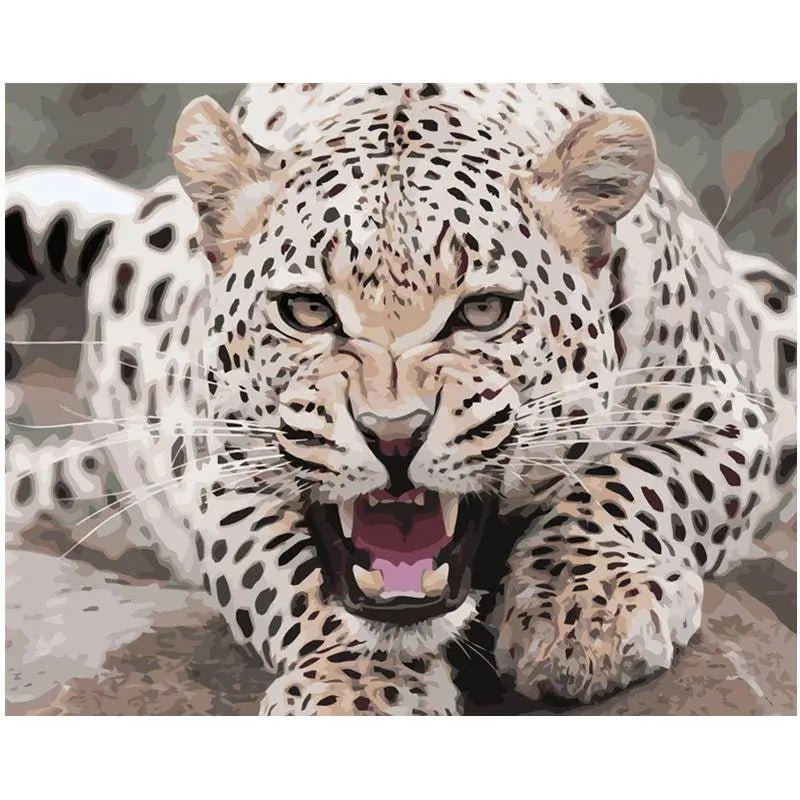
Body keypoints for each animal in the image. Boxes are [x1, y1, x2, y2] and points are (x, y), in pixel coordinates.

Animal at [5, 83, 796, 714]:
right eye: (307, 312)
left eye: (483, 312)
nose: (394, 436)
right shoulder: (220, 470)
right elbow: (294, 581)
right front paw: (359, 692)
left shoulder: (729, 418)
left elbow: (625, 485)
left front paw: (583, 616)